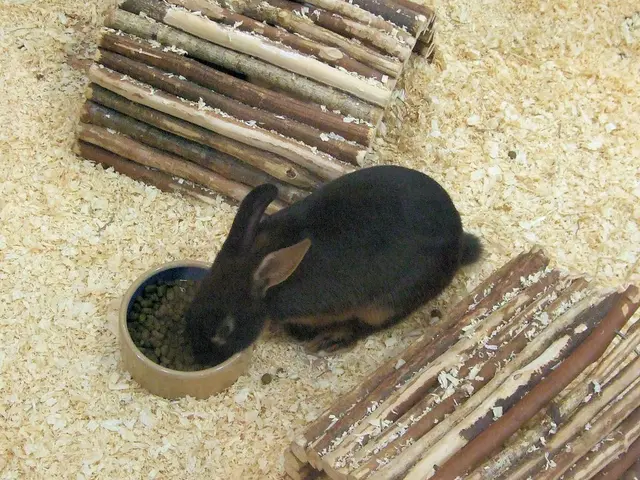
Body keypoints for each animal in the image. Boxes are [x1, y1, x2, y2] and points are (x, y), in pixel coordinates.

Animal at [183, 165, 482, 364]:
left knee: (370, 326)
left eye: (225, 329)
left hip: (385, 305)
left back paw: (333, 340)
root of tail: (459, 245)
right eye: (193, 302)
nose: (201, 360)